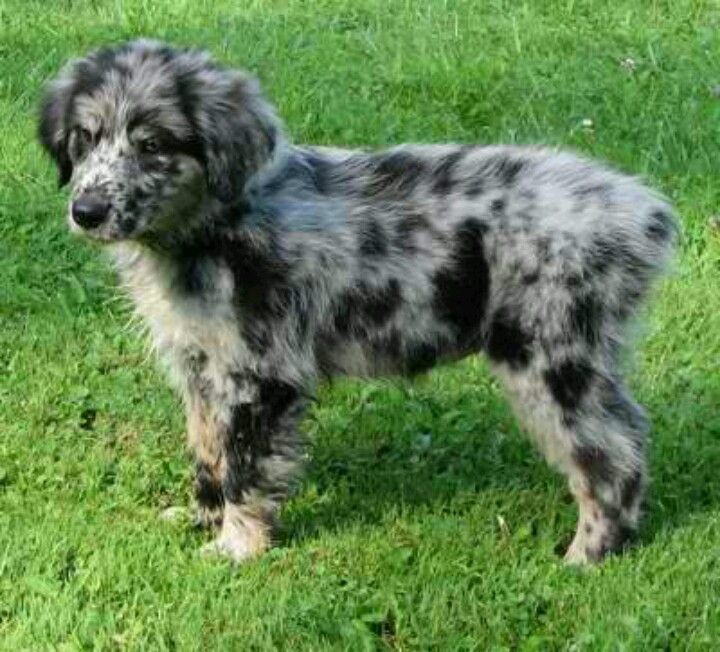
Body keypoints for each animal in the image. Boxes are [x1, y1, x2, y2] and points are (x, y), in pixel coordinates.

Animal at [36, 38, 676, 564]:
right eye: (84, 139)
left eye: (152, 144)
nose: (85, 212)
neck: (219, 224)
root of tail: (644, 213)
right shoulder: (200, 364)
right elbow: (209, 450)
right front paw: (203, 516)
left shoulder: (261, 374)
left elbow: (245, 466)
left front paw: (237, 546)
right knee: (628, 430)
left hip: (549, 357)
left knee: (610, 454)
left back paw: (586, 556)